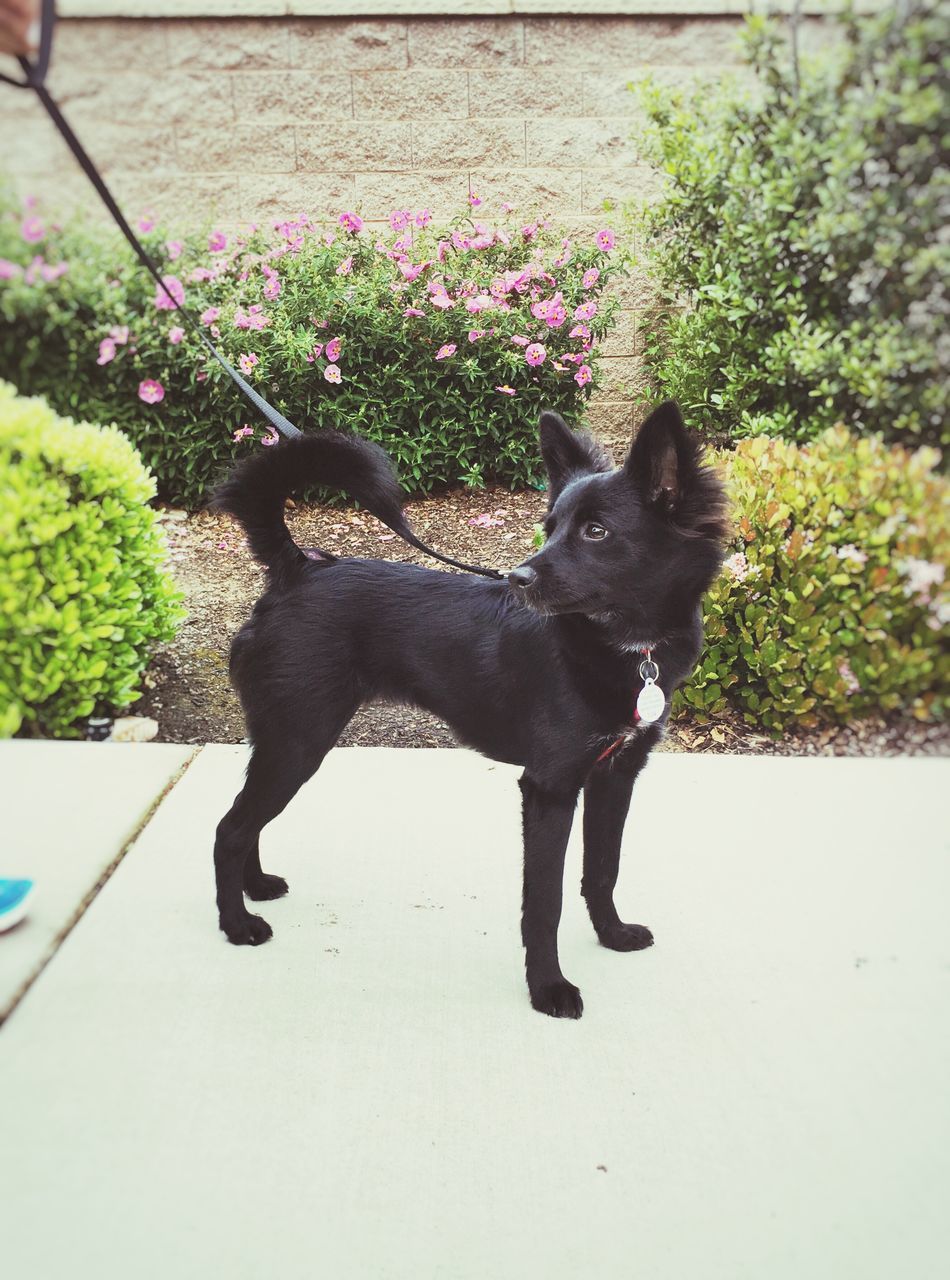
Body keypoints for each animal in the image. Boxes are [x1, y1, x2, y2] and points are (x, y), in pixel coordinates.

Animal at [212, 401, 727, 1018]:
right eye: (550, 526)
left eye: (597, 531)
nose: (518, 578)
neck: (624, 647)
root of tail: (297, 568)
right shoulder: (549, 788)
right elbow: (545, 901)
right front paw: (548, 988)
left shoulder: (616, 775)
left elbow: (603, 869)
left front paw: (612, 935)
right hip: (298, 740)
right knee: (230, 827)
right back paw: (238, 923)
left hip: (282, 739)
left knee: (246, 819)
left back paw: (256, 887)